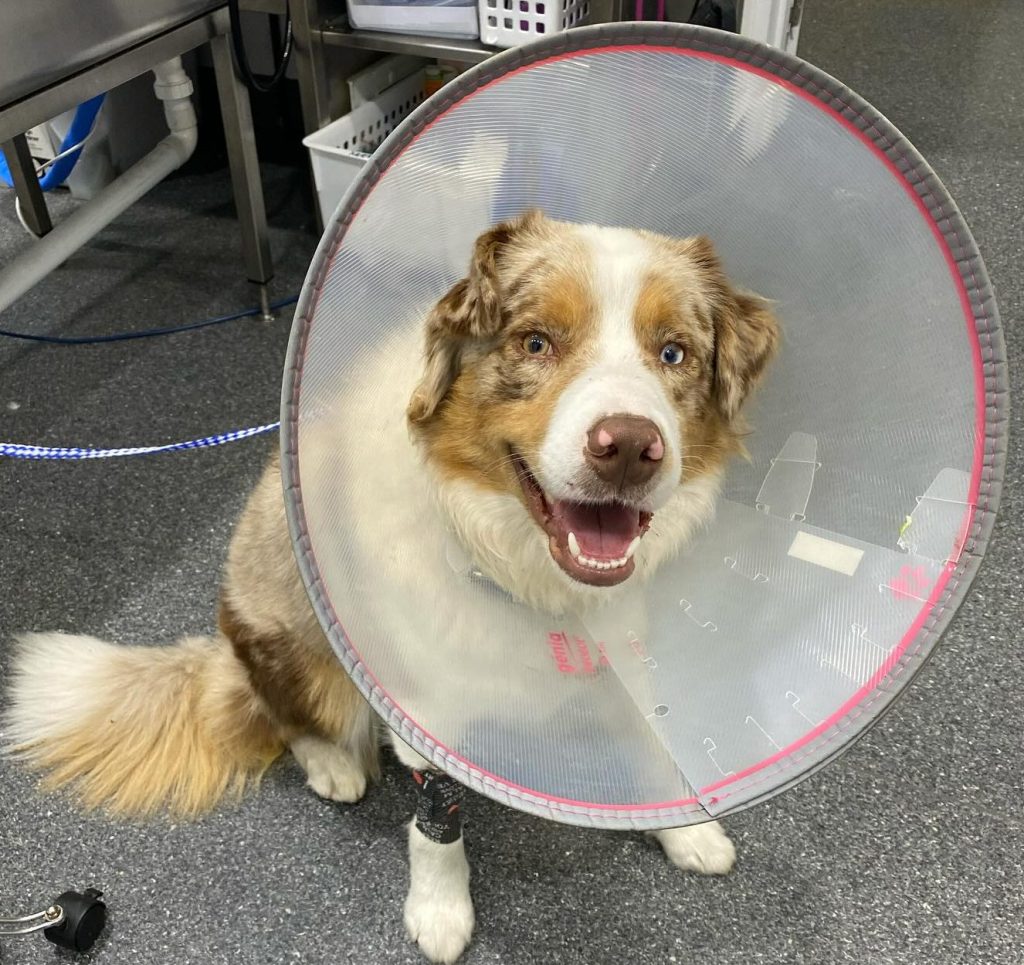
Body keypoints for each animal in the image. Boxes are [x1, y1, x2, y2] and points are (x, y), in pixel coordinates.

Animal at [6, 211, 774, 965]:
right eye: (535, 341)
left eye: (673, 353)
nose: (630, 448)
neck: (520, 568)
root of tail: (222, 653)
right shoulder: (427, 711)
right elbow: (439, 827)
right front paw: (439, 912)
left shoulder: (623, 652)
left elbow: (652, 744)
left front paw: (687, 830)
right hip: (294, 645)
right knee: (288, 717)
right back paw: (334, 764)